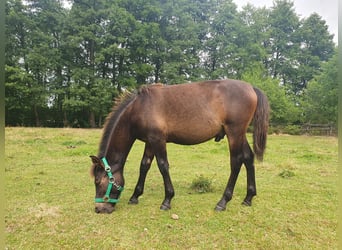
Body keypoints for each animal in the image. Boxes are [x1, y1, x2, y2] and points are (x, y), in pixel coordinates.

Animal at [90, 79, 270, 214]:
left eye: (98, 181)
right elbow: (144, 165)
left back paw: (223, 201)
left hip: (234, 132)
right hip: (239, 134)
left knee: (236, 162)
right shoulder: (150, 141)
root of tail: (251, 88)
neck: (139, 108)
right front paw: (135, 196)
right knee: (248, 158)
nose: (99, 209)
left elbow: (163, 166)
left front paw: (167, 200)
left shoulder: (158, 140)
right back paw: (248, 198)